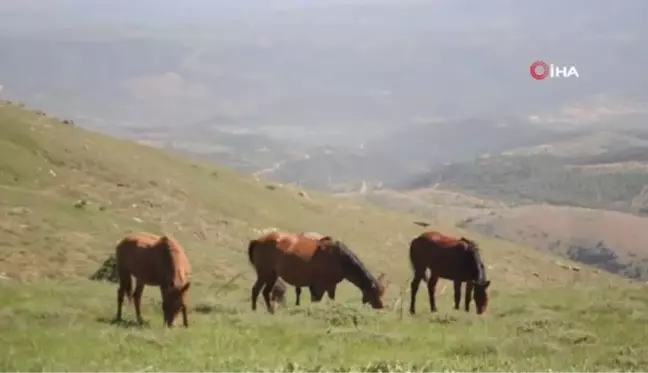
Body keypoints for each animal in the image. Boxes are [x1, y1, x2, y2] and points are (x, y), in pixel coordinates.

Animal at [247, 231, 384, 312]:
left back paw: (271, 311)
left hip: (272, 275)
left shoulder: (329, 285)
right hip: (264, 273)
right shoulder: (320, 286)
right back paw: (254, 310)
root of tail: (257, 240)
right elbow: (317, 300)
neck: (339, 258)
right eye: (375, 293)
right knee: (256, 290)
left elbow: (329, 299)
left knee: (265, 292)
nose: (380, 307)